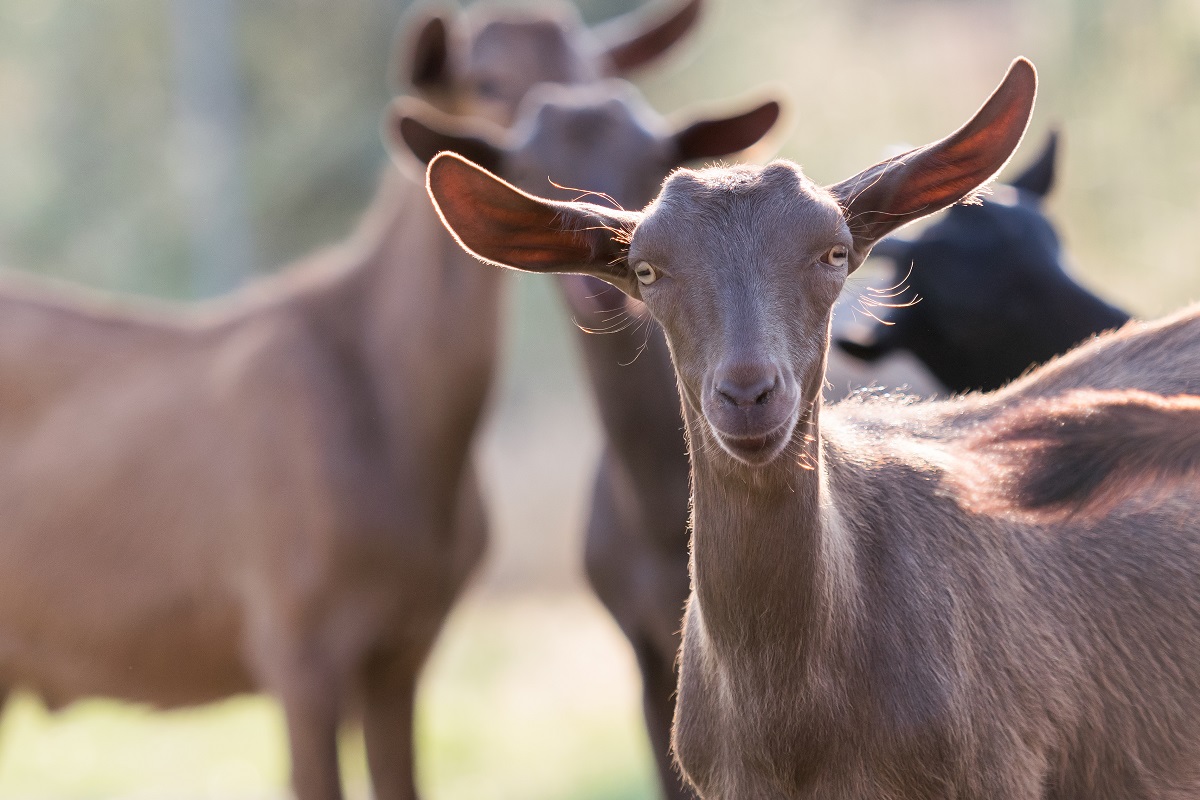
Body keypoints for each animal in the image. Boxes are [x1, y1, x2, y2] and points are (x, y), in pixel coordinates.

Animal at [0, 3, 700, 796]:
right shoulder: (291, 635)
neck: (394, 414)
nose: (594, 238)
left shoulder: (405, 642)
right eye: (488, 84)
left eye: (599, 71)